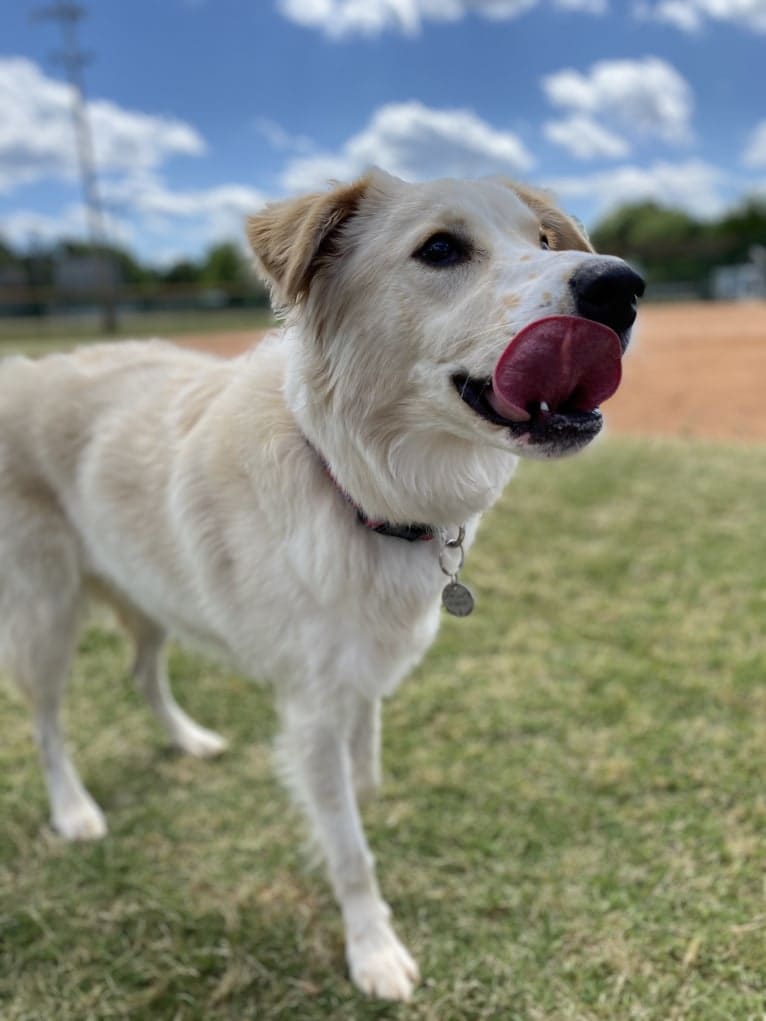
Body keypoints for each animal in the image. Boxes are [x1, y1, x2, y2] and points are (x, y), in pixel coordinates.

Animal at [0, 171, 645, 1000]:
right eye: (441, 248)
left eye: (540, 241)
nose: (620, 286)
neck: (352, 481)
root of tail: (25, 368)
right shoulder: (310, 712)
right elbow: (348, 848)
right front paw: (372, 948)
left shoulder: (361, 674)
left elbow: (362, 769)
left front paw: (369, 806)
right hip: (46, 612)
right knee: (47, 723)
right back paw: (75, 809)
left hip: (148, 593)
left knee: (141, 671)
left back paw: (189, 739)